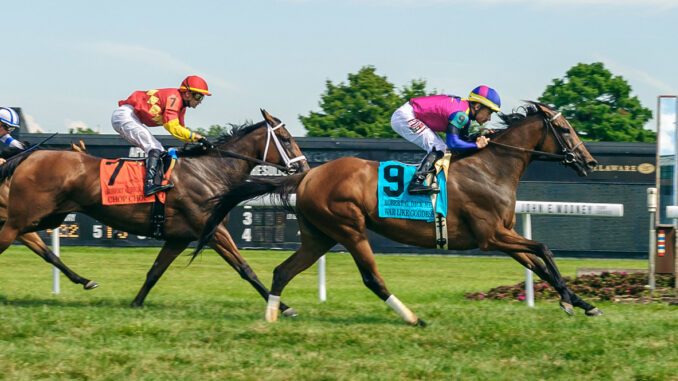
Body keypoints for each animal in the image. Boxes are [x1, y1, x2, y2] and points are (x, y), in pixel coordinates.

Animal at [0, 108, 308, 314]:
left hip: (47, 217)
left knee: (44, 249)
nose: (304, 168)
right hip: (23, 218)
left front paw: (136, 303)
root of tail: (30, 156)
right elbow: (245, 269)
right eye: (285, 138)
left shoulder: (179, 237)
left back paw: (85, 281)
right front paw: (283, 307)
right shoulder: (214, 230)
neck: (209, 171)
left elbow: (155, 271)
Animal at [194, 101, 604, 326]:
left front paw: (584, 304)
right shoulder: (492, 236)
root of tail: (308, 174)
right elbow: (544, 249)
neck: (491, 168)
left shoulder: (504, 236)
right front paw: (568, 301)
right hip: (349, 228)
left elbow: (539, 263)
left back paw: (273, 316)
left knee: (282, 271)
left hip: (319, 236)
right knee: (372, 279)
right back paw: (413, 318)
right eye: (565, 128)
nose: (589, 162)